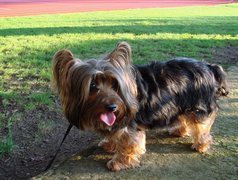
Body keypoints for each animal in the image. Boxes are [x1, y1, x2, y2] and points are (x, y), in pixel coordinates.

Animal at [51, 41, 229, 172]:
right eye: (93, 86)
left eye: (115, 84)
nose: (112, 107)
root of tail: (210, 67)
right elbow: (115, 135)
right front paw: (110, 144)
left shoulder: (128, 124)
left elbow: (128, 143)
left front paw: (119, 162)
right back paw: (179, 131)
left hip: (198, 106)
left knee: (201, 126)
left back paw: (201, 145)